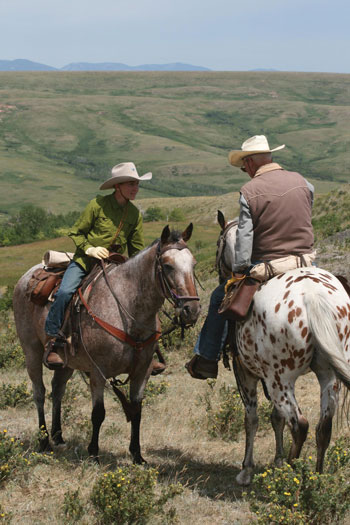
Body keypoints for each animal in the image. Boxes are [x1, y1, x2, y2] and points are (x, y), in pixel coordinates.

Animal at [13, 225, 201, 462]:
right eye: (167, 266)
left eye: (193, 264)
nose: (191, 310)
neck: (128, 308)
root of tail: (26, 276)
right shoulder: (98, 371)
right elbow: (98, 413)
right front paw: (93, 453)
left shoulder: (143, 371)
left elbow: (136, 410)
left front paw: (137, 455)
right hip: (32, 350)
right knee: (39, 392)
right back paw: (44, 440)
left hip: (66, 361)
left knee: (57, 389)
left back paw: (58, 436)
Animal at [216, 209, 350, 484]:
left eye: (218, 244)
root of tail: (313, 296)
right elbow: (275, 418)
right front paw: (277, 460)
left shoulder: (245, 372)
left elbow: (252, 418)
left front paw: (247, 469)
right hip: (328, 375)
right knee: (323, 426)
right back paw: (315, 478)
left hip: (281, 381)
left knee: (300, 425)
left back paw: (290, 475)